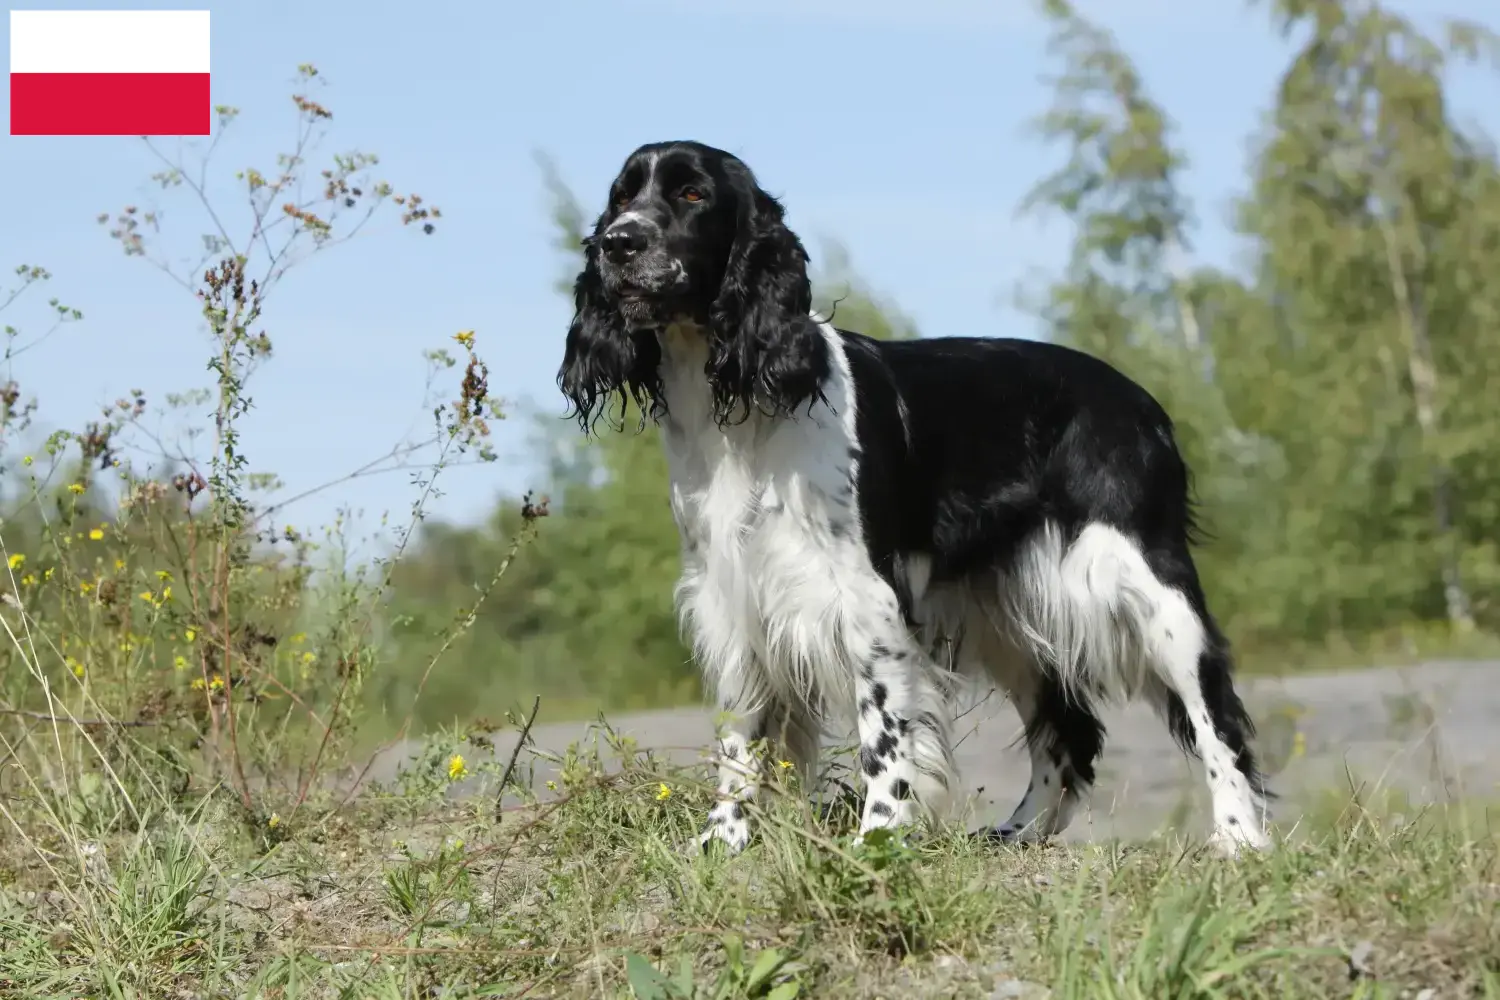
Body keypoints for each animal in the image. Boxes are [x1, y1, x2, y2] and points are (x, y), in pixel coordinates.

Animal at [558, 140, 1272, 857]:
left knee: (1215, 715)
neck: (738, 406)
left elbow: (883, 728)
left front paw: (878, 833)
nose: (618, 244)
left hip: (1151, 590)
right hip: (1005, 614)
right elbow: (741, 734)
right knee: (1066, 730)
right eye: (622, 197)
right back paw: (1016, 833)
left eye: (693, 195)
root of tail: (1144, 404)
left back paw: (1239, 837)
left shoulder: (865, 595)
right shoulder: (732, 595)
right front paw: (723, 838)